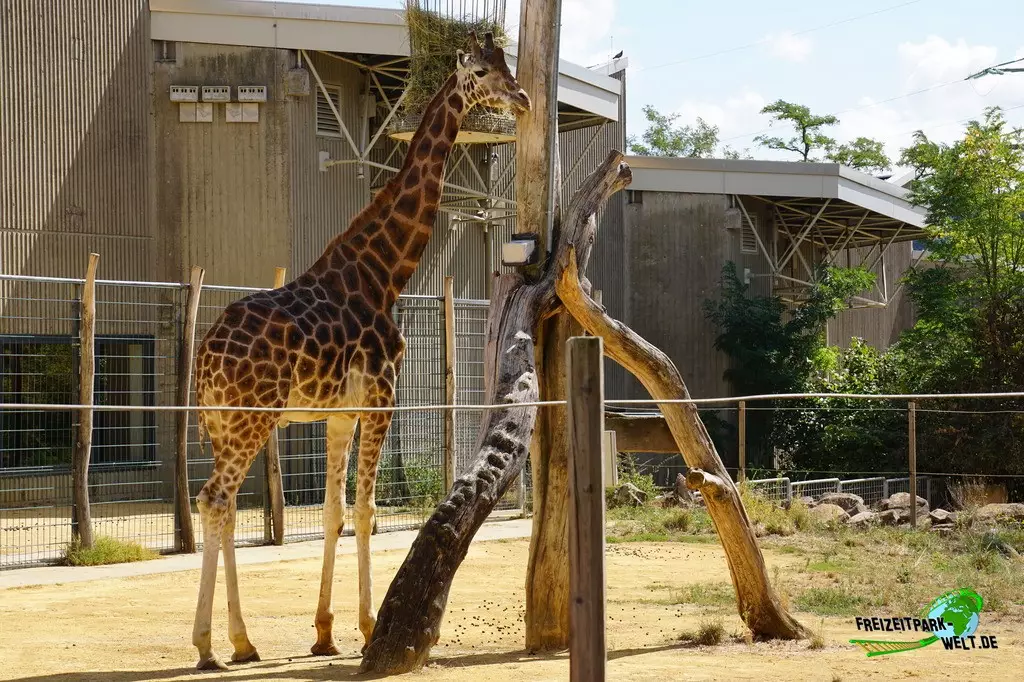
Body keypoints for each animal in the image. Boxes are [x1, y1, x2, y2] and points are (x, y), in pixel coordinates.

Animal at [189, 32, 530, 671]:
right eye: (479, 70)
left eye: (507, 64)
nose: (521, 98)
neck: (384, 274)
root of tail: (205, 357)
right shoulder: (381, 399)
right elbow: (368, 512)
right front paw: (371, 628)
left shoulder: (340, 413)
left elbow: (334, 512)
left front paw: (324, 632)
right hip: (251, 419)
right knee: (215, 499)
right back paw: (206, 645)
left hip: (224, 421)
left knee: (221, 507)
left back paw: (242, 641)